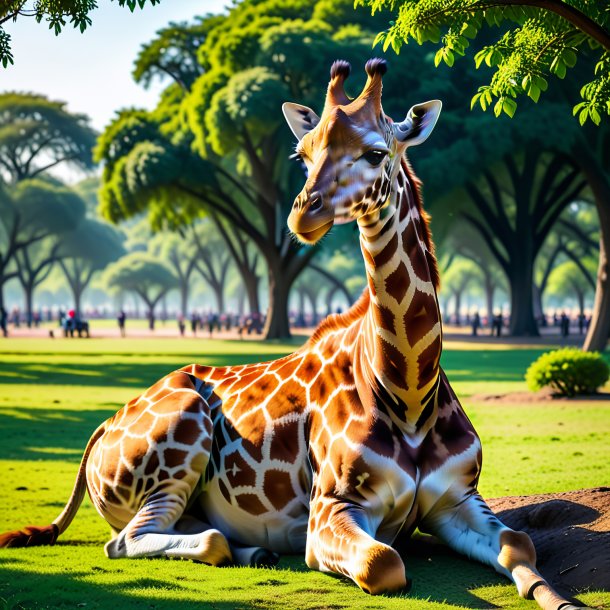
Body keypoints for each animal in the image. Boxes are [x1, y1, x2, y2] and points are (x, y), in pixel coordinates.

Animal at [0, 58, 580, 608]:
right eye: (303, 154)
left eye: (376, 152)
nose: (304, 214)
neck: (409, 394)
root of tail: (104, 426)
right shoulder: (331, 507)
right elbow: (383, 563)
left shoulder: (458, 498)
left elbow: (520, 545)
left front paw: (557, 598)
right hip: (180, 436)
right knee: (131, 540)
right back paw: (241, 547)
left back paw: (252, 550)